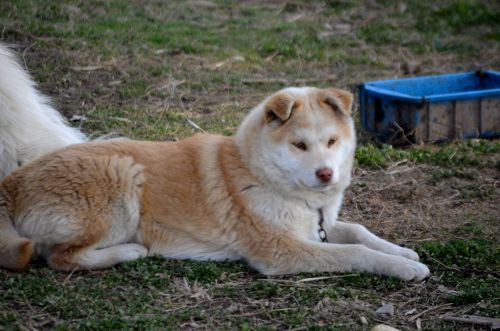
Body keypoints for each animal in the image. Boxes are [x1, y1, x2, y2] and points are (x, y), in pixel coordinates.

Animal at [0, 80, 430, 280]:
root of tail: (12, 183)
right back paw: (130, 251)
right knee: (60, 257)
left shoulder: (316, 228)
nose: (326, 174)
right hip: (121, 178)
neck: (258, 172)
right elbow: (353, 252)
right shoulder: (282, 251)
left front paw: (401, 252)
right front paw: (402, 267)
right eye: (299, 145)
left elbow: (357, 231)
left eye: (331, 141)